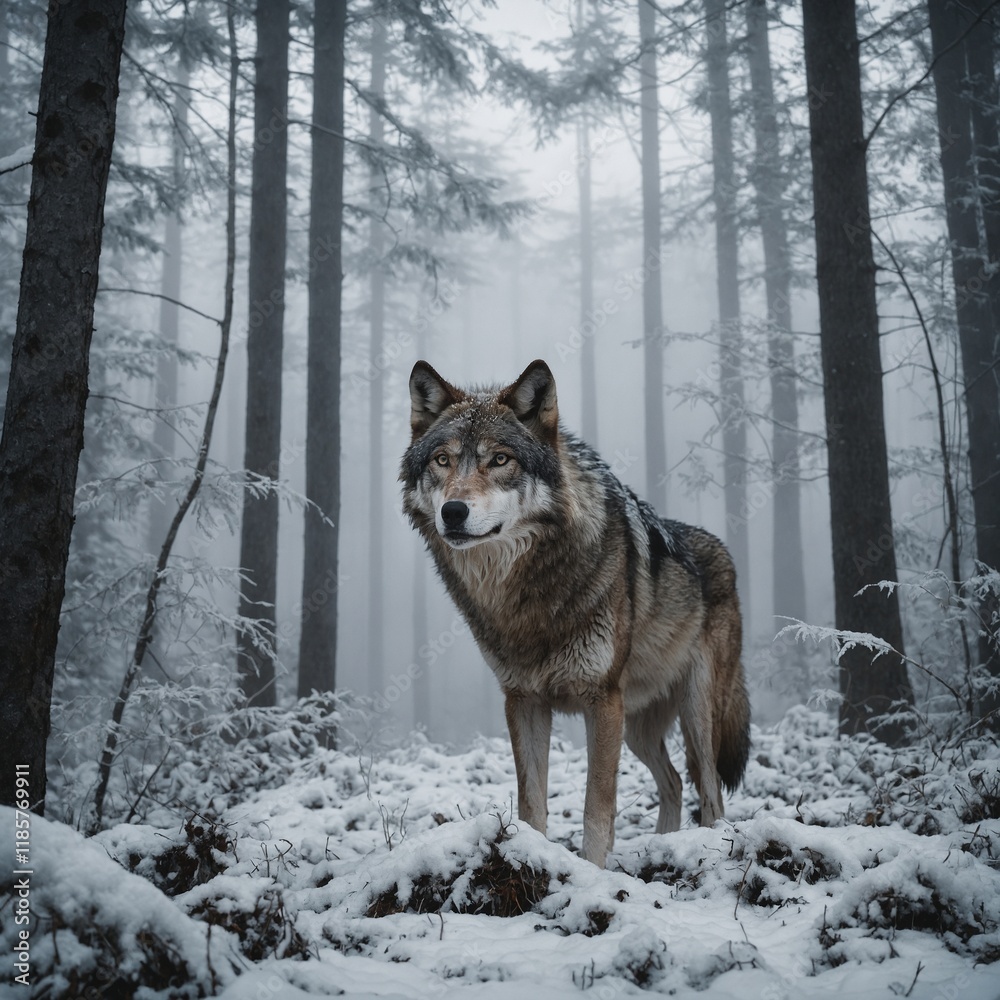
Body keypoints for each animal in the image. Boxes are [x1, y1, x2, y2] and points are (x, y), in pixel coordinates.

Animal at [400, 359, 750, 868]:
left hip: (696, 713)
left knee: (710, 791)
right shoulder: (523, 701)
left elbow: (596, 808)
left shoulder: (601, 701)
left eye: (500, 460)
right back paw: (661, 847)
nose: (453, 512)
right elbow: (532, 803)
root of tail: (723, 551)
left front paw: (594, 871)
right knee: (673, 782)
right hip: (637, 728)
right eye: (442, 460)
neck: (526, 599)